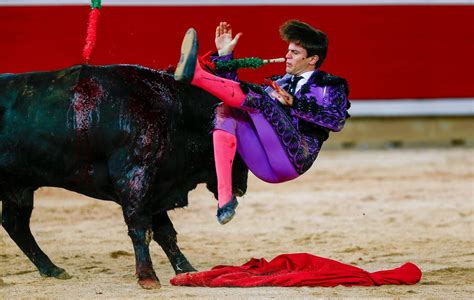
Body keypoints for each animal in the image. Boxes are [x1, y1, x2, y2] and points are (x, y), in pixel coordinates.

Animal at [0, 65, 250, 288]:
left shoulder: (156, 187)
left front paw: (186, 270)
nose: (242, 188)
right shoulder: (135, 179)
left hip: (17, 188)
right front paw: (148, 278)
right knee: (16, 225)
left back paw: (52, 269)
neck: (174, 112)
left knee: (15, 225)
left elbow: (165, 233)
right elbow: (140, 227)